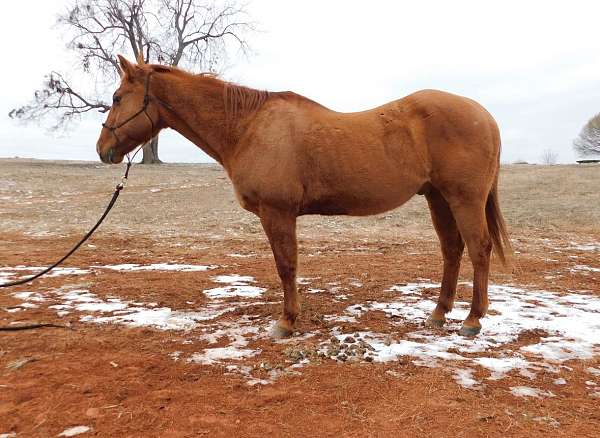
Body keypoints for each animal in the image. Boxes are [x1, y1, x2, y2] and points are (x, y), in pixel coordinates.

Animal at [97, 56, 510, 338]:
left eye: (117, 97)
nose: (103, 150)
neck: (249, 128)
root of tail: (485, 116)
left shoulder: (277, 212)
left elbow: (286, 266)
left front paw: (287, 322)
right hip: (438, 198)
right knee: (452, 251)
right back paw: (439, 314)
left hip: (464, 198)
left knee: (479, 249)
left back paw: (472, 320)